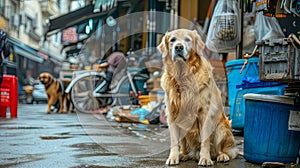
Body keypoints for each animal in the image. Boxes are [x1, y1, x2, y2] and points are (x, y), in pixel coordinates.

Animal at [158, 29, 238, 167]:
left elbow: (205, 141)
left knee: (224, 150)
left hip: (221, 127)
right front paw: (173, 157)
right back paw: (183, 155)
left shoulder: (204, 113)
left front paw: (205, 158)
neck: (183, 75)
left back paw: (221, 156)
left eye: (187, 39)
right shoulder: (172, 115)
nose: (178, 47)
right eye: (172, 40)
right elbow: (174, 141)